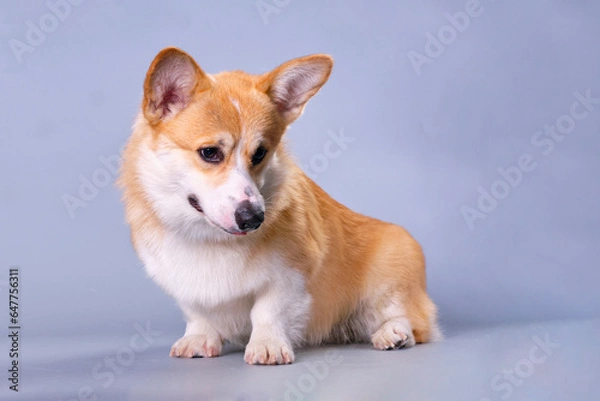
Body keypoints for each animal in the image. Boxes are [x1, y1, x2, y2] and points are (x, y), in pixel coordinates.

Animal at [119, 46, 442, 362]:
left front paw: (267, 346)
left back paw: (393, 334)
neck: (211, 240)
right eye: (209, 152)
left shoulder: (289, 276)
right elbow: (199, 313)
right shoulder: (183, 285)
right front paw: (198, 339)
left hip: (392, 273)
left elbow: (267, 311)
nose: (253, 218)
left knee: (413, 321)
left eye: (260, 153)